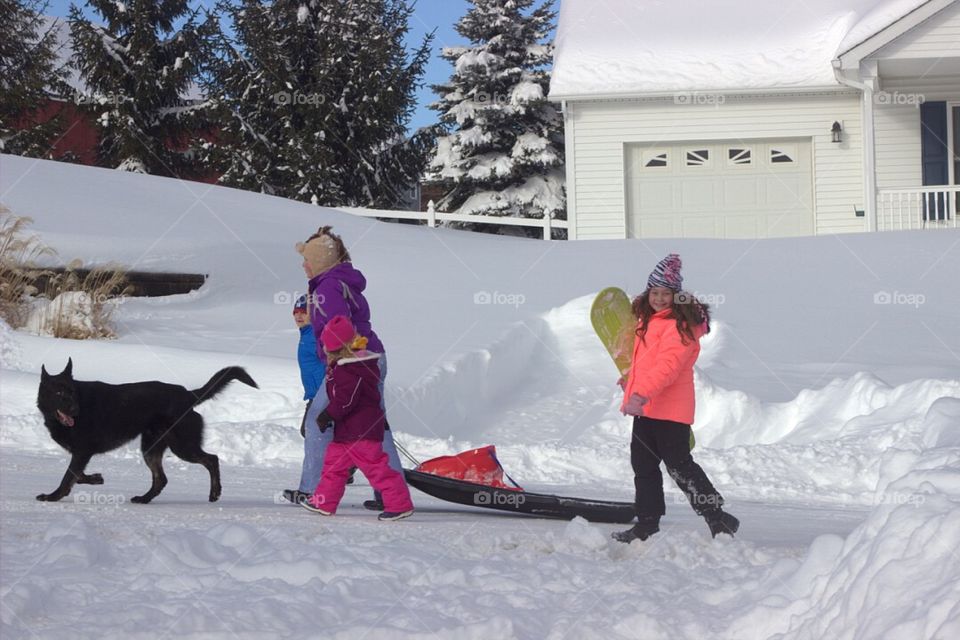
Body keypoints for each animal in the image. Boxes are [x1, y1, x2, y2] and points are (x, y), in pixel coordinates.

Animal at [37, 360, 256, 504]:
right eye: (59, 393)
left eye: (72, 392)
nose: (75, 410)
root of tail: (189, 395)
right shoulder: (81, 454)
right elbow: (77, 474)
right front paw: (96, 478)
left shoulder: (82, 452)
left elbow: (68, 476)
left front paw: (53, 496)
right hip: (151, 448)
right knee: (161, 479)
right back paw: (144, 498)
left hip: (182, 447)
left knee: (212, 459)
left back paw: (215, 493)